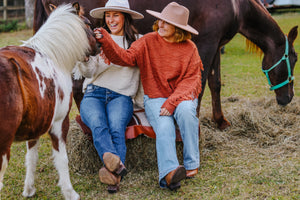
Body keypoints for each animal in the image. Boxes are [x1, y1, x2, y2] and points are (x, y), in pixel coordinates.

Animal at [0, 3, 96, 200]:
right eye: (89, 24)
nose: (99, 46)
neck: (53, 56)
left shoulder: (35, 126)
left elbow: (31, 158)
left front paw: (29, 189)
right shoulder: (60, 123)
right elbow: (62, 158)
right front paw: (69, 192)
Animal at [33, 0, 298, 131]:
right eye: (293, 59)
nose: (287, 98)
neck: (236, 6)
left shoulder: (216, 44)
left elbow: (215, 83)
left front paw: (221, 121)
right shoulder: (207, 42)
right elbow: (200, 84)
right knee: (77, 87)